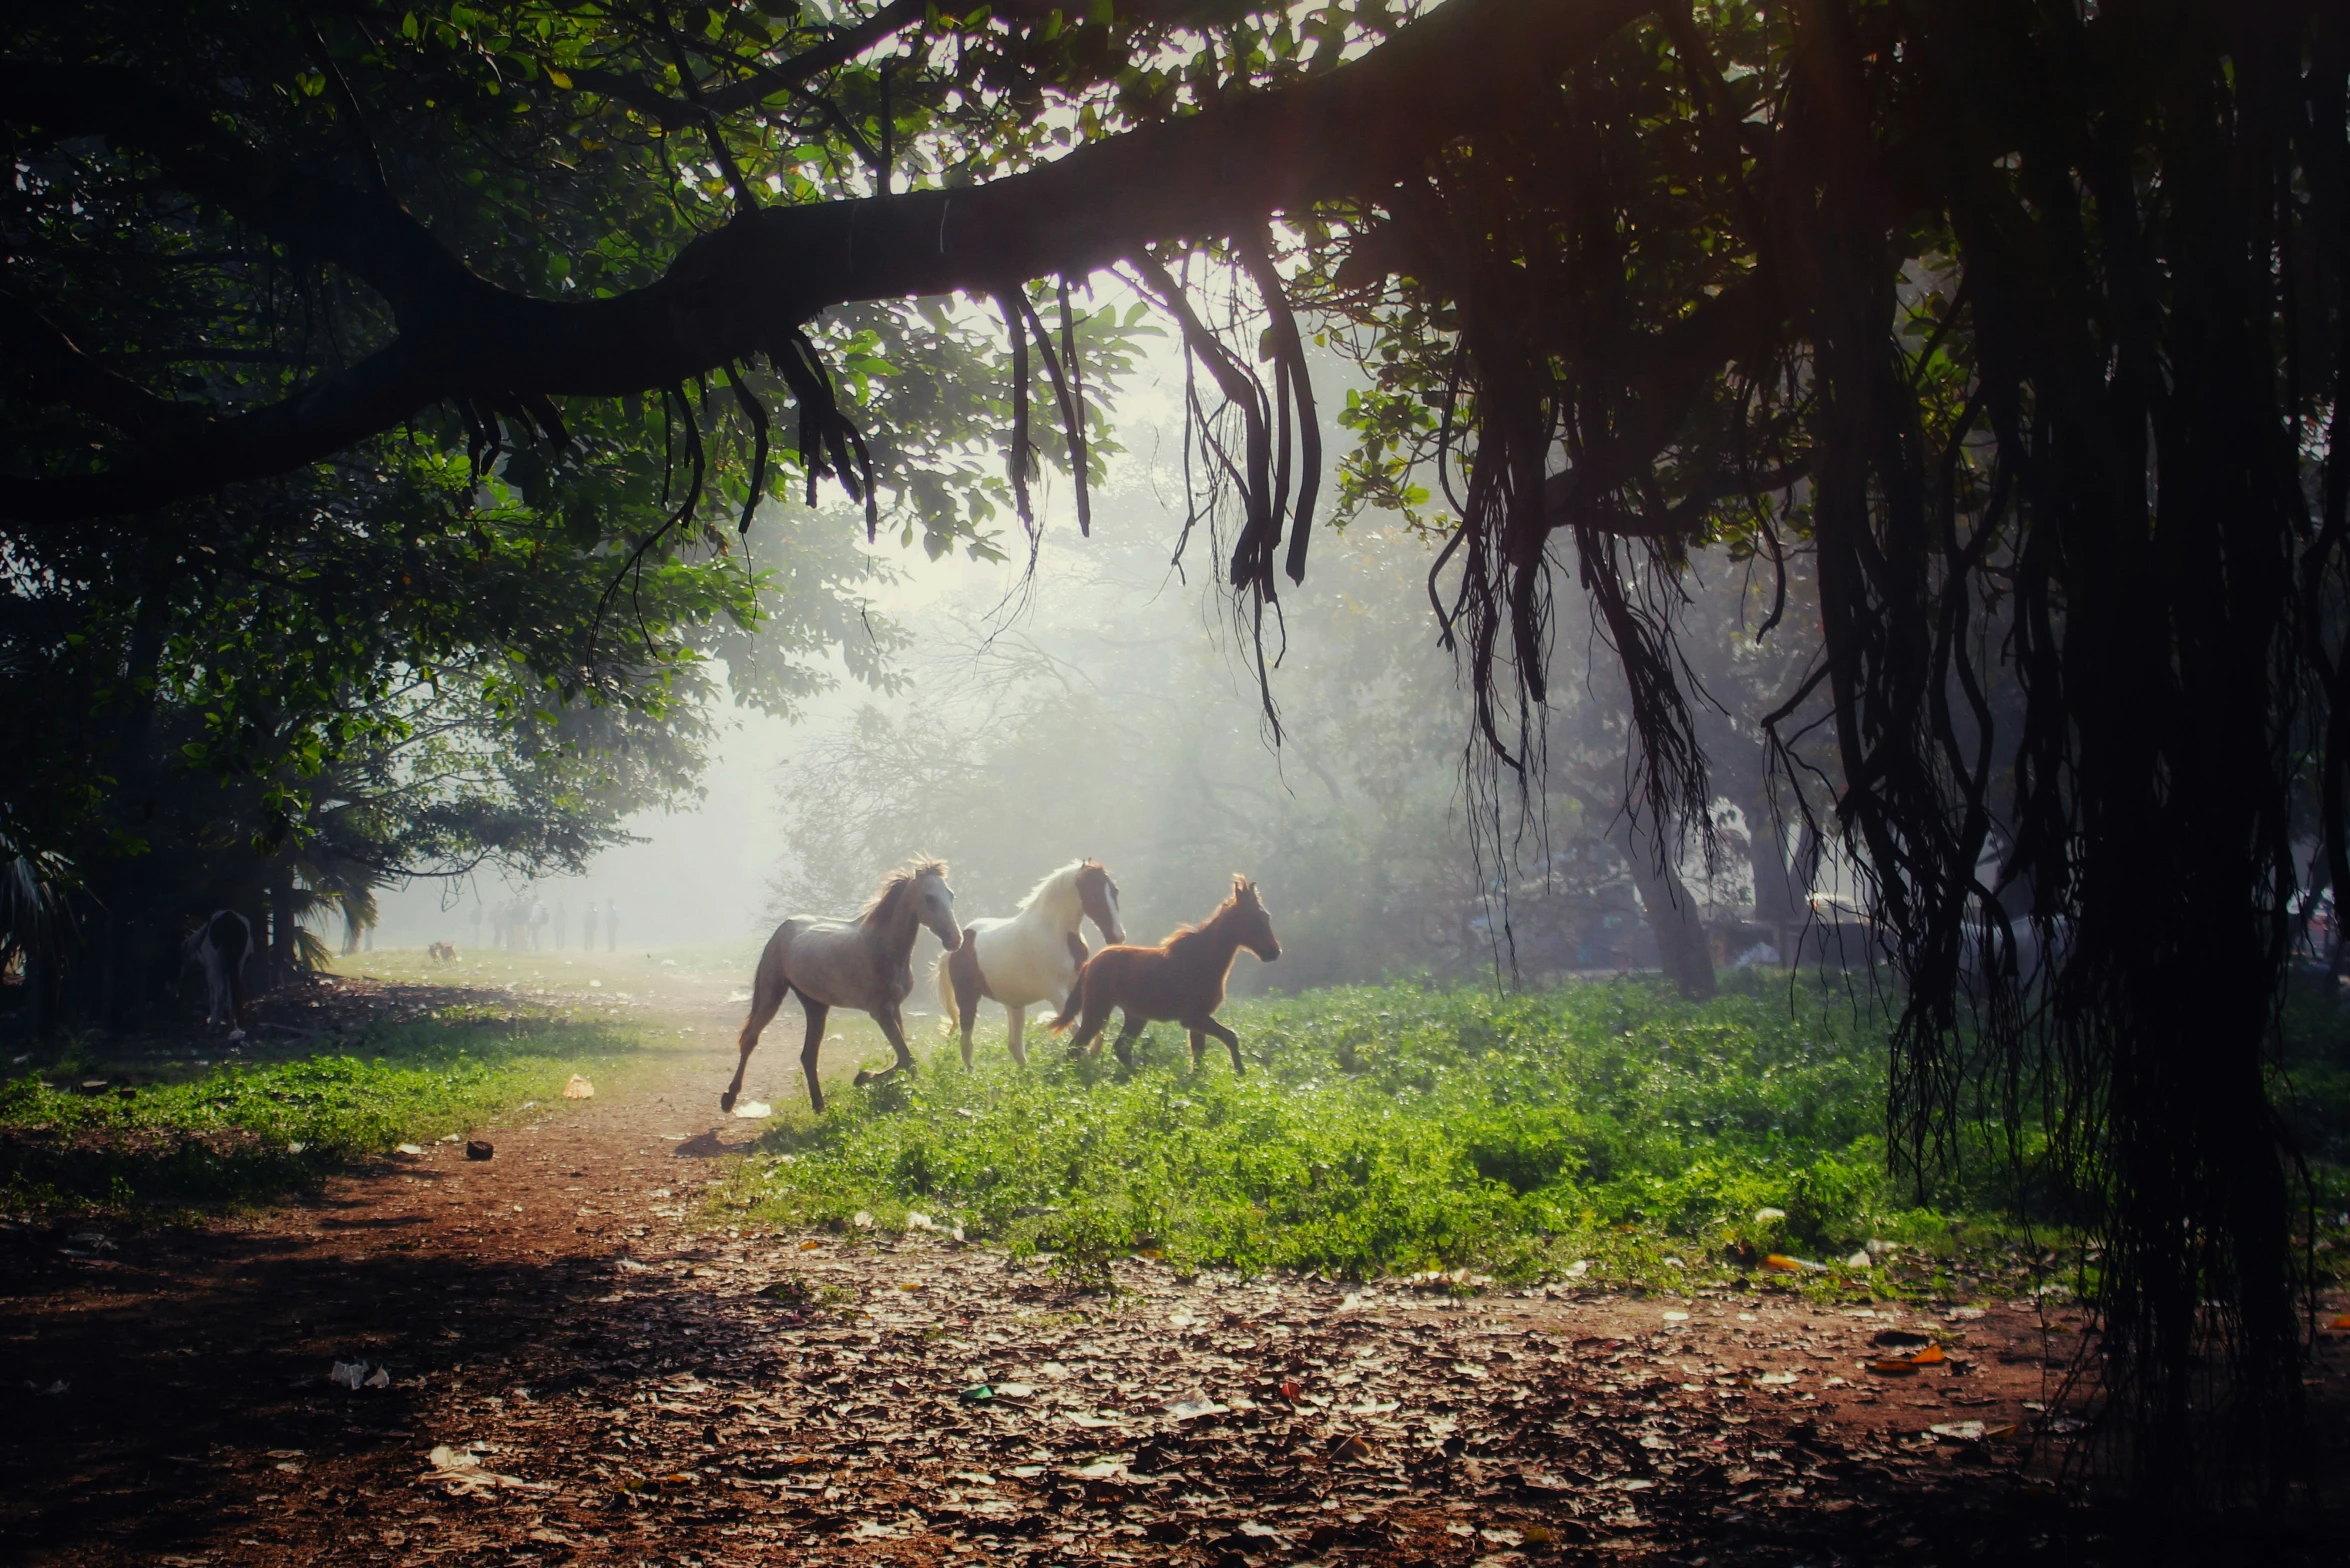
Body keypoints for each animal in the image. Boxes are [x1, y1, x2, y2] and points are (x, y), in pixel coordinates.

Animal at [182, 907, 253, 1043]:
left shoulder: (209, 968)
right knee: (233, 990)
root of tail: (230, 918)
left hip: (214, 963)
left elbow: (213, 995)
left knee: (220, 991)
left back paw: (213, 1026)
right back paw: (231, 1025)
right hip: (237, 963)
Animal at [723, 860, 963, 1114]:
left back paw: (819, 1106)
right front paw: (869, 1079)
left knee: (808, 1055)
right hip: (772, 993)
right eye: (929, 897)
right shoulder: (880, 1012)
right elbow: (907, 1058)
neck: (882, 947)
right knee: (750, 1038)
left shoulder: (894, 1008)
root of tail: (785, 927)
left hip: (816, 1006)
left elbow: (904, 1057)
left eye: (950, 895)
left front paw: (884, 1085)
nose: (955, 940)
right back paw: (729, 1099)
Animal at [930, 860, 1123, 1067]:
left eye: (1115, 890)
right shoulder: (1056, 993)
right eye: (1093, 893)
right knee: (967, 1046)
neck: (1055, 931)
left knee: (1015, 1046)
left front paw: (1096, 1054)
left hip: (1014, 1005)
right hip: (967, 999)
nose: (1117, 936)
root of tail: (958, 944)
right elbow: (1076, 1031)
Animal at [1052, 879, 1287, 1071]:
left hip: (1135, 1017)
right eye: (1254, 917)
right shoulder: (1194, 1018)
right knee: (1075, 1048)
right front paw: (1240, 1074)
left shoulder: (1197, 1021)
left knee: (1120, 1048)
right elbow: (1230, 1037)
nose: (1274, 952)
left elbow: (1199, 1057)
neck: (1203, 960)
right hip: (1097, 1012)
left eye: (1265, 915)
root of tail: (1090, 963)